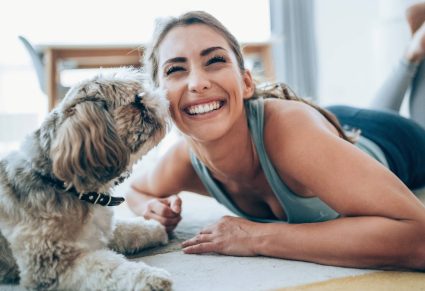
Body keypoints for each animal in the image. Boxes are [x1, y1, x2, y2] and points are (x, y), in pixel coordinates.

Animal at [0, 69, 172, 291]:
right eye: (136, 101)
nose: (157, 98)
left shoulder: (103, 231)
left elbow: (126, 228)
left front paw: (154, 228)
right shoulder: (52, 265)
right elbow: (108, 268)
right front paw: (150, 277)